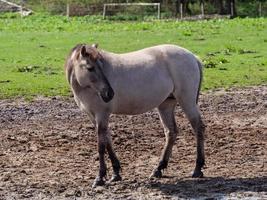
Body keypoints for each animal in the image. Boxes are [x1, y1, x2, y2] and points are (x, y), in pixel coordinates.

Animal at [64, 43, 205, 188]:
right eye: (90, 68)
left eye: (102, 67)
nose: (109, 93)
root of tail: (193, 57)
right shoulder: (93, 117)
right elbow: (108, 141)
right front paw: (116, 173)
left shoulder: (101, 114)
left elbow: (101, 146)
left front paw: (100, 177)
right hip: (166, 104)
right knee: (171, 132)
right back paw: (158, 169)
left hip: (187, 101)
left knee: (198, 128)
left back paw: (197, 168)